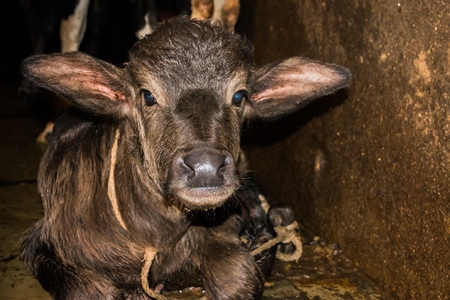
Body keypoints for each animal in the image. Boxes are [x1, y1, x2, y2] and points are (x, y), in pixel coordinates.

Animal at [21, 17, 352, 300]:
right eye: (147, 95)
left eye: (239, 96)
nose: (206, 168)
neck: (157, 237)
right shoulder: (42, 242)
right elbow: (90, 291)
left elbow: (238, 279)